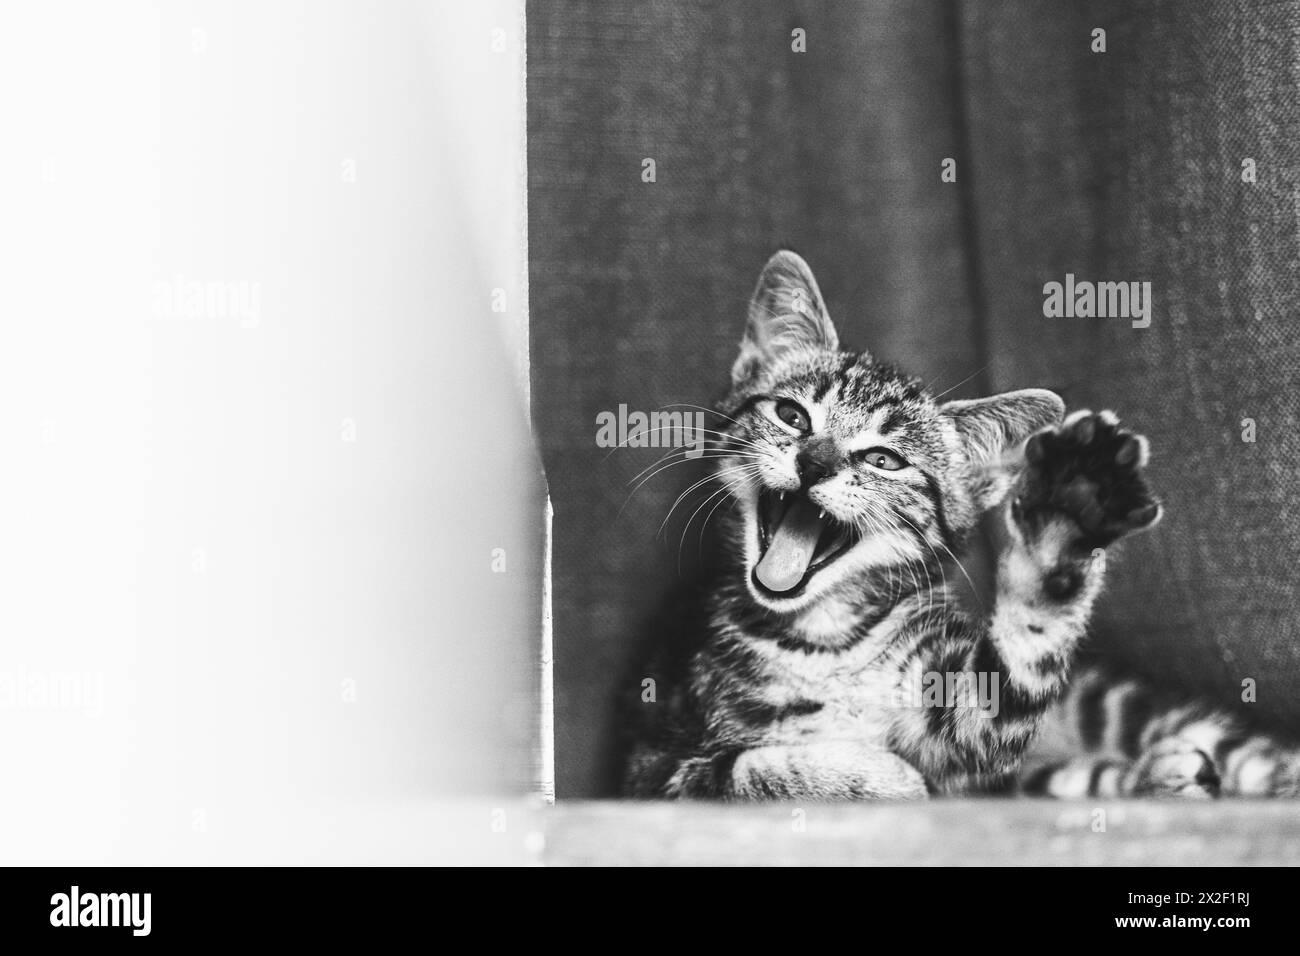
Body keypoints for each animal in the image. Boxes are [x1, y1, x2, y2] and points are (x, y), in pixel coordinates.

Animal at [626, 248, 1279, 801]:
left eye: (884, 460)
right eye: (791, 415)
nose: (814, 462)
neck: (825, 634)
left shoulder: (960, 717)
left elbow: (1003, 687)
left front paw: (1067, 515)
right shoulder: (655, 764)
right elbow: (741, 771)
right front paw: (878, 776)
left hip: (1102, 700)